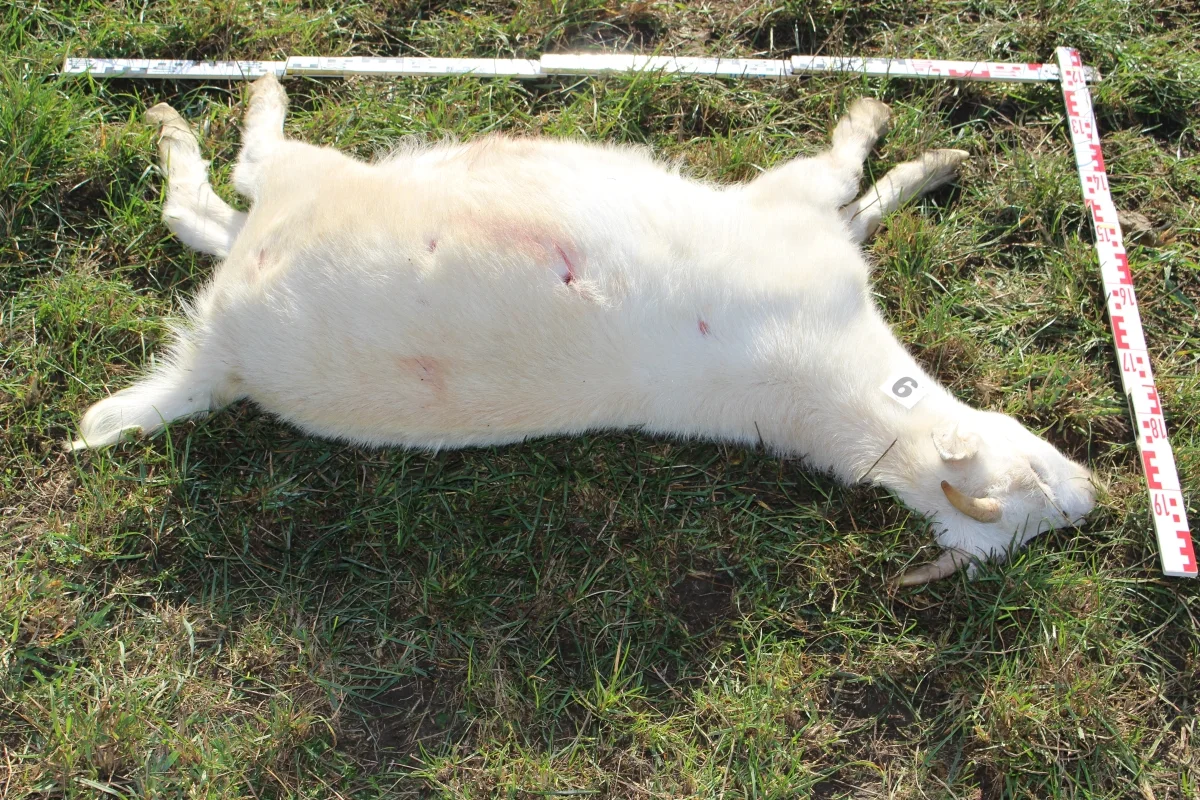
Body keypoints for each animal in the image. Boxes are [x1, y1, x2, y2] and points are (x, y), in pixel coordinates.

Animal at [71, 73, 1097, 584]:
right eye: (1032, 480)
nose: (1096, 499)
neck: (832, 390)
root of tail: (225, 365)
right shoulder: (793, 207)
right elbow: (849, 173)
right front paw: (896, 132)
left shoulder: (805, 225)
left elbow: (865, 202)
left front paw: (927, 163)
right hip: (307, 182)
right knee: (244, 170)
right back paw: (250, 93)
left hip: (279, 228)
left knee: (204, 214)